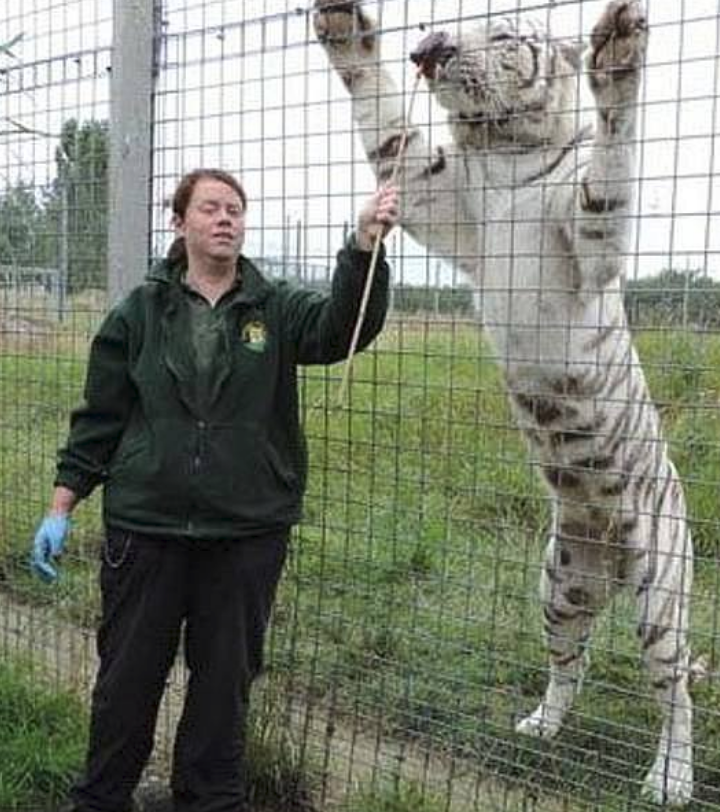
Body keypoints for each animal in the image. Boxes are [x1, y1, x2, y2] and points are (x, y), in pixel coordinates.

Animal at [312, 1, 698, 806]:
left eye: (503, 35)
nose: (431, 47)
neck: (505, 157)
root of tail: (607, 552)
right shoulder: (428, 185)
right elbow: (384, 115)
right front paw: (343, 27)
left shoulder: (590, 241)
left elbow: (608, 172)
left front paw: (618, 52)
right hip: (561, 583)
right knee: (572, 661)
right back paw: (540, 726)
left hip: (660, 592)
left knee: (677, 692)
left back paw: (669, 778)